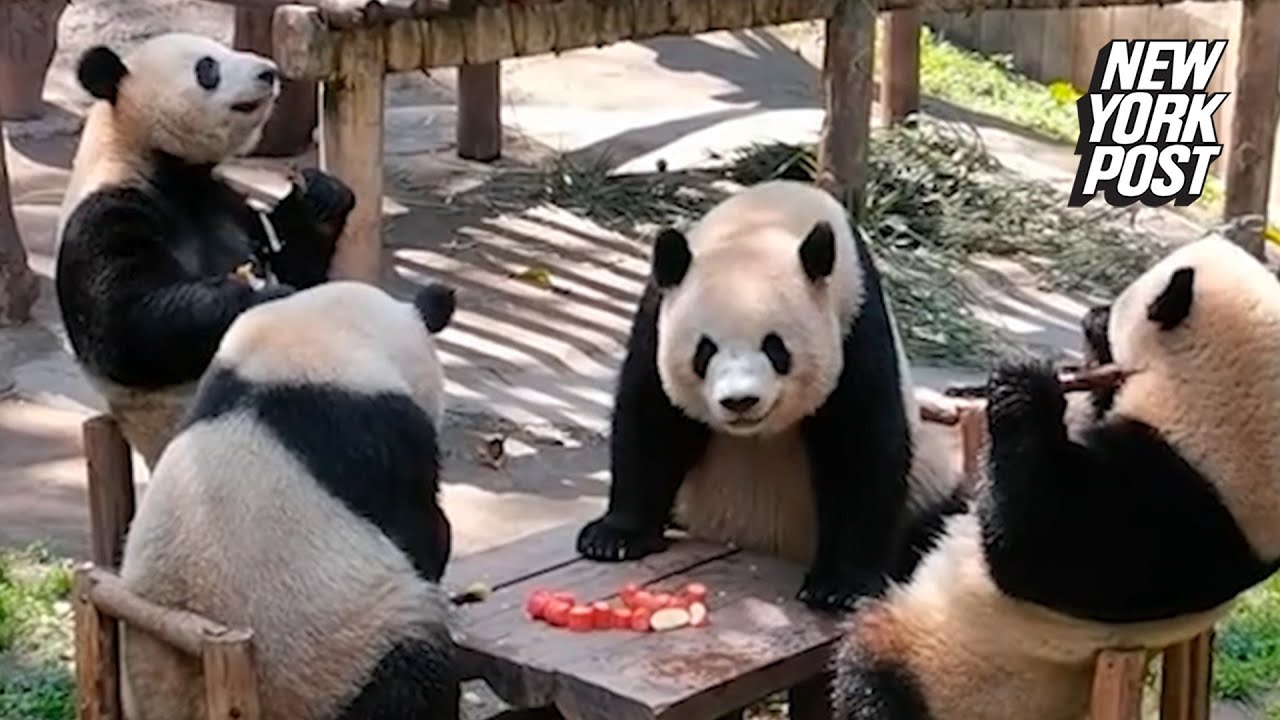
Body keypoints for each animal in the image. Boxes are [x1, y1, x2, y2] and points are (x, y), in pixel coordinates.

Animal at [54, 33, 355, 468]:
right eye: (207, 68)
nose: (269, 72)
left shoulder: (224, 201)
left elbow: (297, 267)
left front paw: (321, 197)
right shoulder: (103, 214)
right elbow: (125, 325)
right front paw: (259, 297)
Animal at [576, 178, 962, 604]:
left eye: (776, 348)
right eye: (704, 351)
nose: (740, 401)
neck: (764, 224)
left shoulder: (856, 322)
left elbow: (860, 445)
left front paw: (838, 585)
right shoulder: (658, 315)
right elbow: (652, 419)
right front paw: (614, 537)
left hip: (928, 483)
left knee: (943, 522)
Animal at [834, 234, 1280, 717]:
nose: (1094, 311)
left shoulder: (1175, 503)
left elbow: (1036, 543)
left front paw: (1025, 384)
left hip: (947, 669)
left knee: (874, 682)